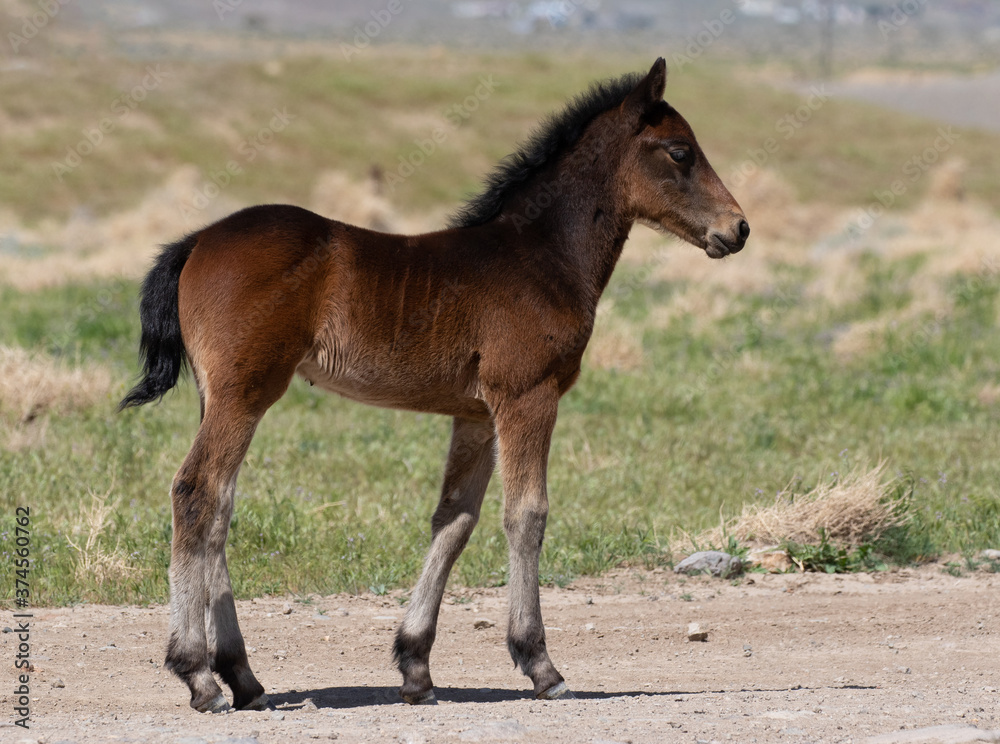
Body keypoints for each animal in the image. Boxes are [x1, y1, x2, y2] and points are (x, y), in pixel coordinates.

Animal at [119, 58, 749, 713]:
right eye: (680, 152)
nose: (739, 228)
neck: (541, 256)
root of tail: (197, 241)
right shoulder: (527, 396)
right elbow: (527, 514)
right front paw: (540, 664)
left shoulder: (475, 414)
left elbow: (454, 520)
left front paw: (415, 666)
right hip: (246, 393)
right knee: (196, 492)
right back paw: (199, 674)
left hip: (218, 397)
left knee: (219, 507)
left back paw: (243, 676)